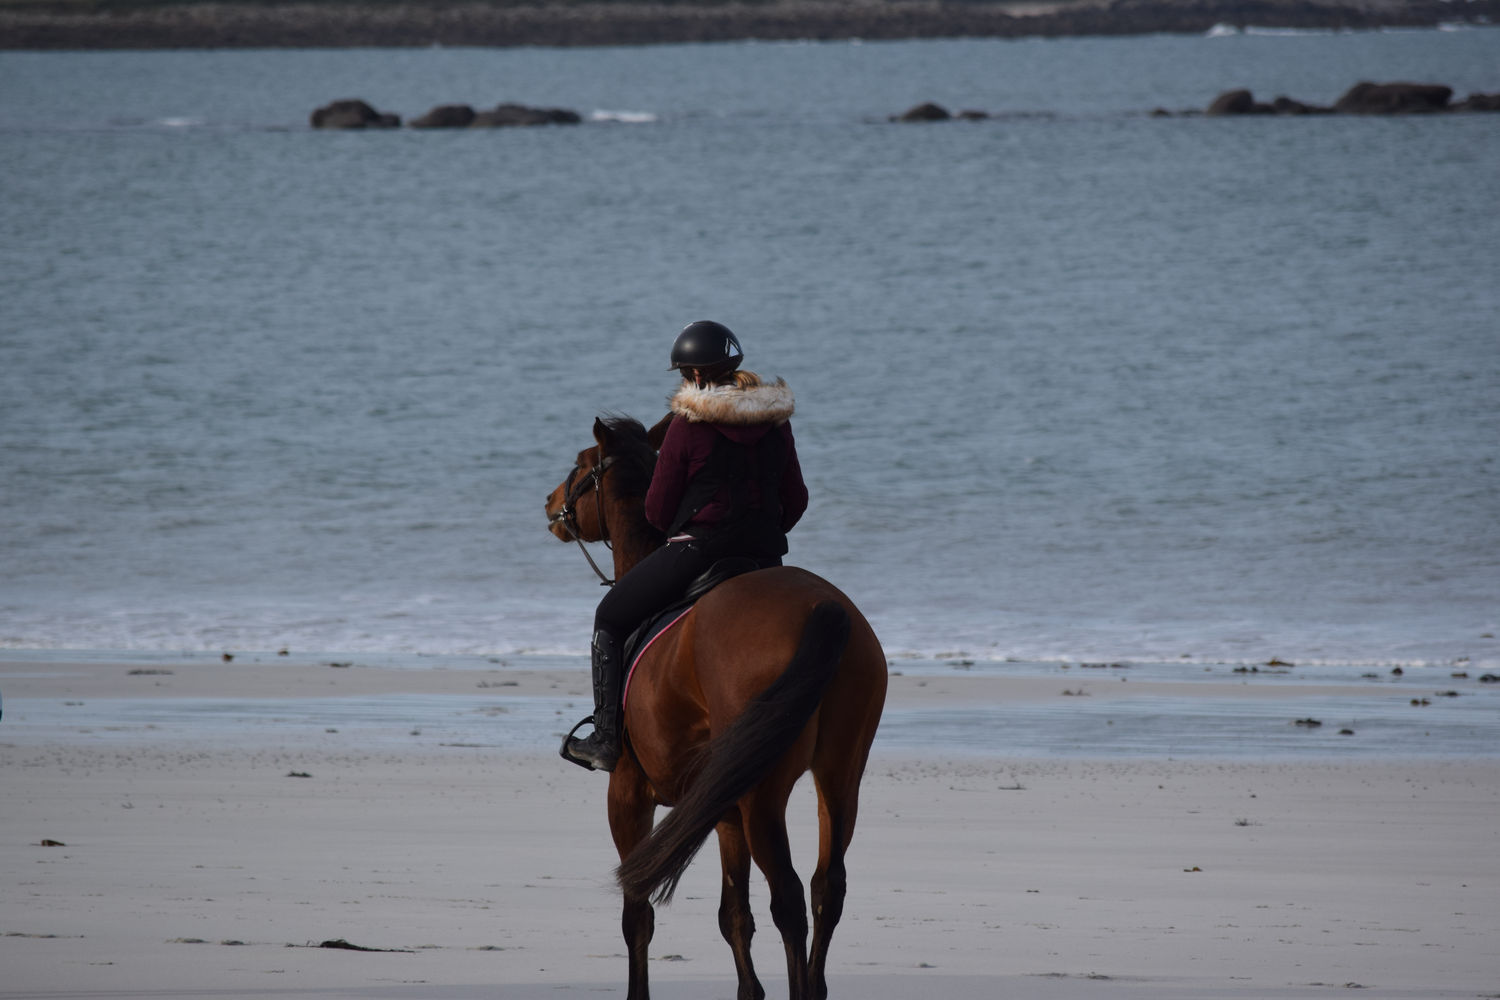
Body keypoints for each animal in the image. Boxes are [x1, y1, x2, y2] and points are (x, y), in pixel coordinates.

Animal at [546, 413, 882, 1000]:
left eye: (583, 465)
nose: (550, 504)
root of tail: (823, 608)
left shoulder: (627, 794)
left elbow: (637, 914)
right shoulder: (723, 813)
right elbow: (734, 917)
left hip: (764, 795)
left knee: (789, 899)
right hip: (838, 777)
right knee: (826, 888)